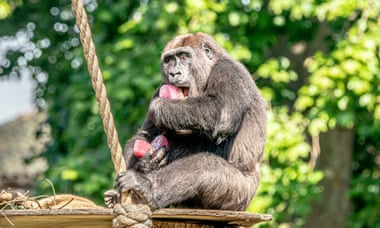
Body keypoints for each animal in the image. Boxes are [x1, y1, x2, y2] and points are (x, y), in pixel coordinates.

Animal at [110, 32, 266, 210]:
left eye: (184, 56)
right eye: (169, 60)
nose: (174, 74)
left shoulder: (229, 71)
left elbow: (222, 112)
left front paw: (160, 107)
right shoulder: (161, 86)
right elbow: (143, 136)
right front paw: (145, 162)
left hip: (241, 195)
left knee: (205, 166)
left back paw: (146, 187)